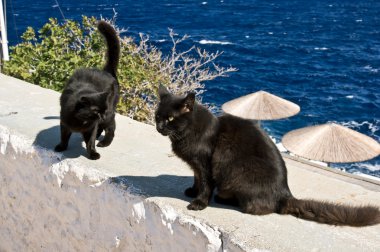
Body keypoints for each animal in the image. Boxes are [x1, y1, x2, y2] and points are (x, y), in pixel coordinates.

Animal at [54, 21, 120, 159]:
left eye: (103, 110)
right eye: (95, 110)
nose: (102, 115)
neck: (82, 121)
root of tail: (106, 71)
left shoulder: (92, 127)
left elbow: (90, 141)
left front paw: (93, 154)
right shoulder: (64, 123)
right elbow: (64, 136)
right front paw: (61, 147)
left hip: (110, 116)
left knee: (111, 128)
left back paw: (104, 142)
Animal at [154, 85, 380, 227]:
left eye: (171, 118)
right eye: (158, 116)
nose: (159, 126)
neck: (188, 132)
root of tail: (285, 194)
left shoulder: (205, 164)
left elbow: (205, 185)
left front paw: (199, 203)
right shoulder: (196, 165)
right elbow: (196, 179)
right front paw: (192, 191)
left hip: (238, 177)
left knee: (257, 207)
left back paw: (224, 198)